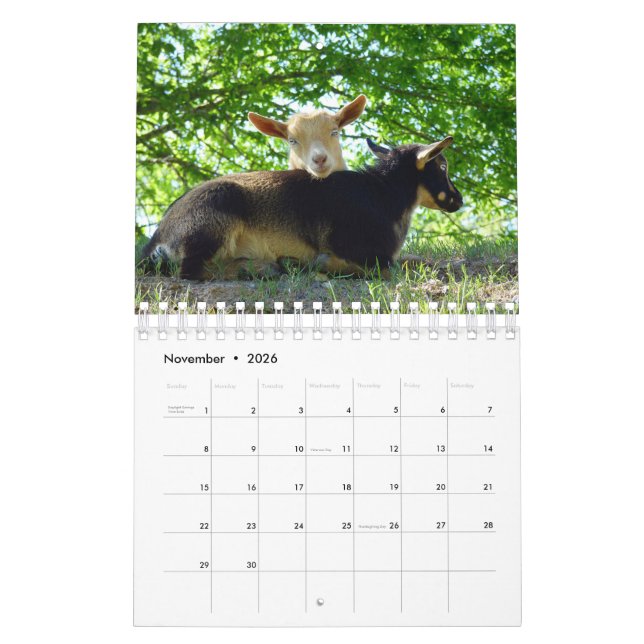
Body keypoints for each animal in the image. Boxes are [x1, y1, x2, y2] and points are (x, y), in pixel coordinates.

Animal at [143, 137, 463, 280]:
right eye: (442, 165)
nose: (459, 200)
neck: (382, 195)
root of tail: (158, 238)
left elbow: (413, 259)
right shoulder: (359, 249)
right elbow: (386, 266)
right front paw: (314, 264)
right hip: (213, 220)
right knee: (190, 271)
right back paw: (271, 267)